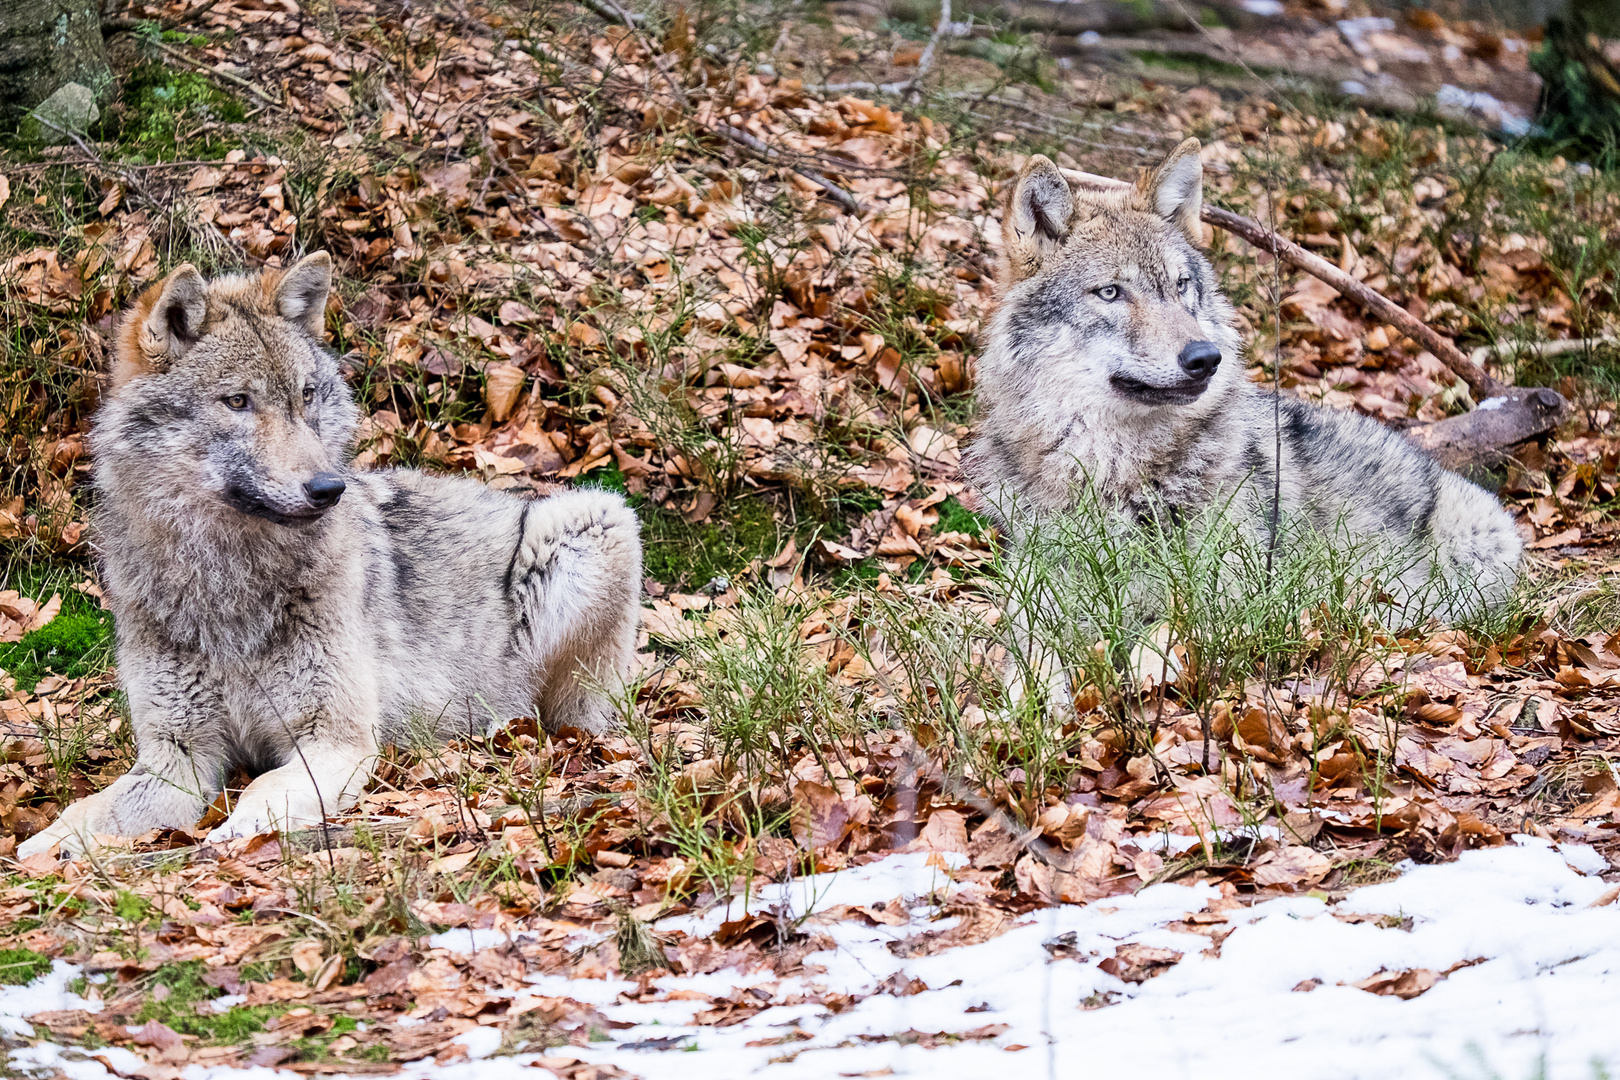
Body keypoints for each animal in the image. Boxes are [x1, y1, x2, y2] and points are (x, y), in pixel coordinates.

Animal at [19, 257, 641, 854]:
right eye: (238, 401)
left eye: (306, 396)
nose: (328, 488)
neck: (228, 586)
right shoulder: (178, 758)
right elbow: (84, 812)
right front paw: (41, 853)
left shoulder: (335, 739)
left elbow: (266, 789)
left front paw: (237, 837)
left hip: (597, 521)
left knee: (568, 721)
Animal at [965, 139, 1522, 650]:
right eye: (1110, 292)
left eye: (1181, 285)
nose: (1205, 357)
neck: (1117, 476)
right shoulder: (1035, 607)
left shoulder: (1234, 608)